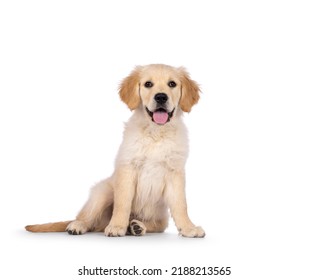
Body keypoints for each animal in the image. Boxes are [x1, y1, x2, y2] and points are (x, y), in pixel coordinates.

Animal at [25, 64, 205, 237]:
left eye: (172, 84)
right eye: (148, 84)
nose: (161, 97)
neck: (155, 133)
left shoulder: (175, 172)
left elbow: (181, 205)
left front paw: (188, 228)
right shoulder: (127, 168)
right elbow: (122, 203)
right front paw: (117, 226)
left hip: (160, 215)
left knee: (156, 225)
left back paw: (136, 227)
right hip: (102, 192)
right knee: (85, 217)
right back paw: (79, 226)